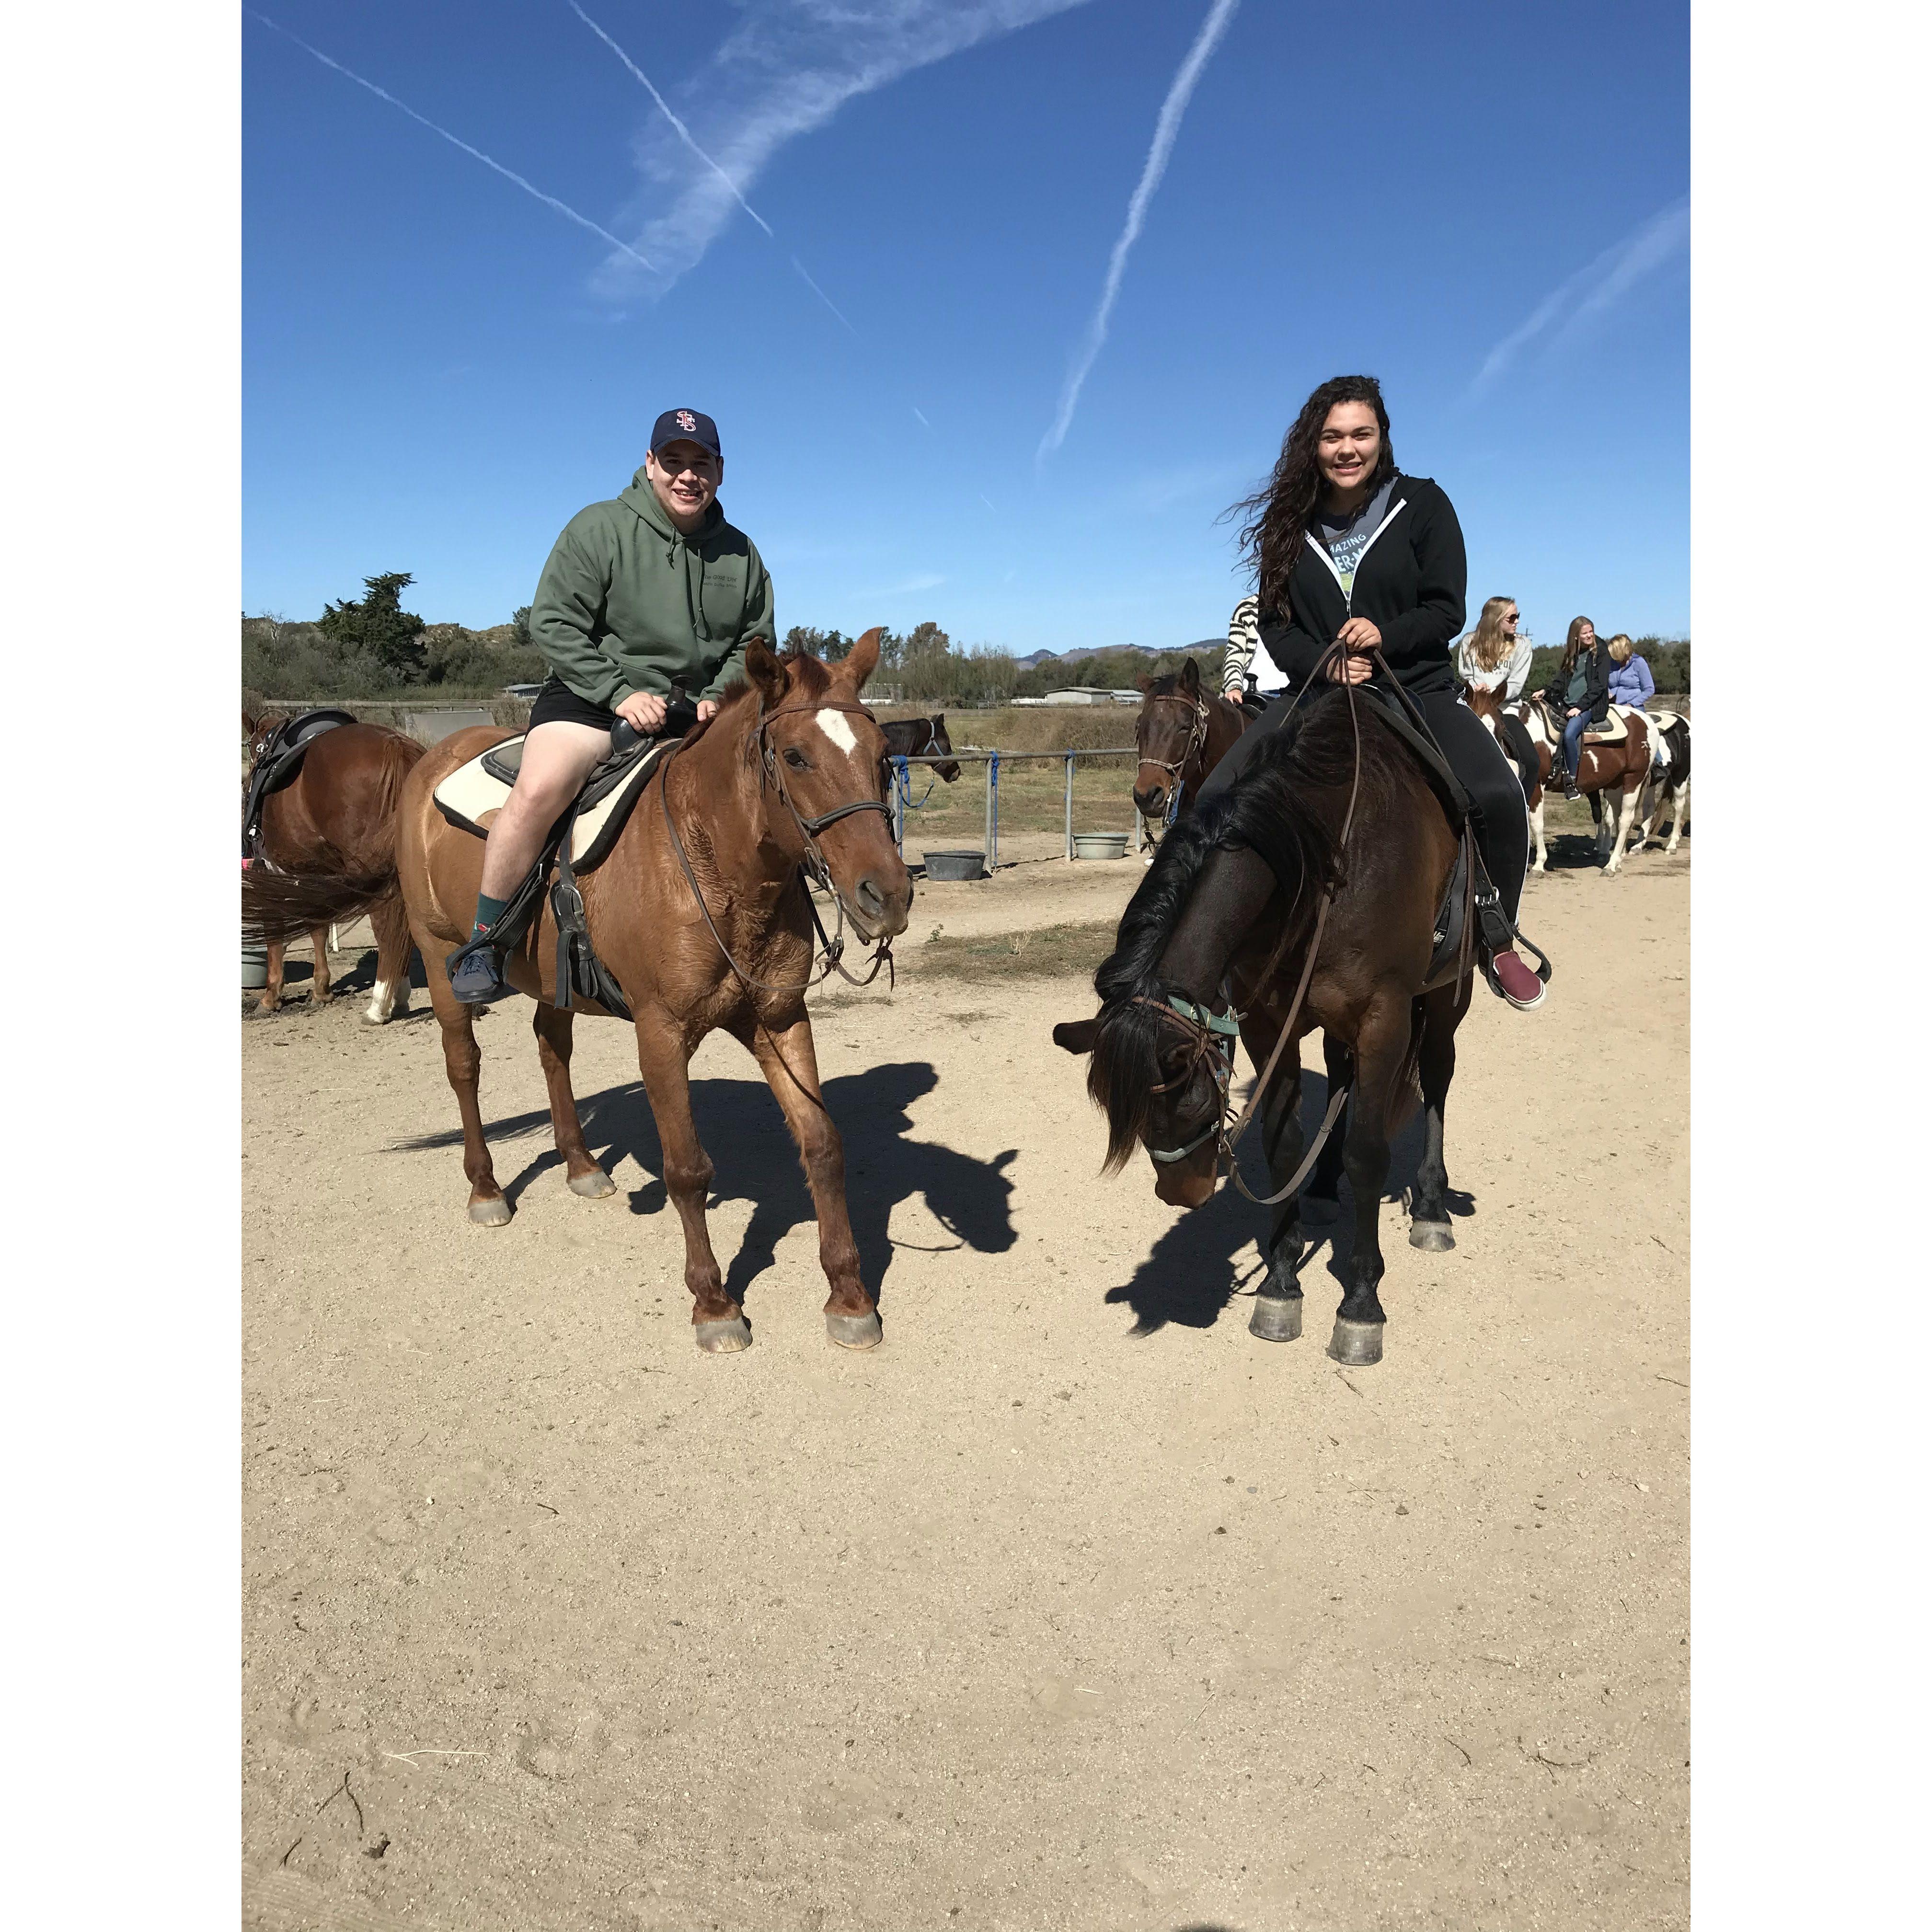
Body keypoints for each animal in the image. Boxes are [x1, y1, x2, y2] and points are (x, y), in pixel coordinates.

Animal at [242, 714, 423, 1028]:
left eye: (253, 750)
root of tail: (395, 746)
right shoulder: (318, 873)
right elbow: (319, 928)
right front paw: (321, 991)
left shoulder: (269, 869)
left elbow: (276, 932)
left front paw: (271, 997)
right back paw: (398, 995)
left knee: (386, 923)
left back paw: (380, 1005)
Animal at [1051, 672, 1468, 1368]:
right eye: (1137, 728)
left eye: (1194, 1106)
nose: (1182, 1195)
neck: (1328, 857)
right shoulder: (1270, 1023)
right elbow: (1283, 1142)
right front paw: (1281, 1283)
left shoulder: (1384, 1017)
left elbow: (1368, 1152)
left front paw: (1361, 1304)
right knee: (1342, 1079)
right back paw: (1322, 1189)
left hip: (1444, 996)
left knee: (1436, 1078)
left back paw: (1433, 1205)